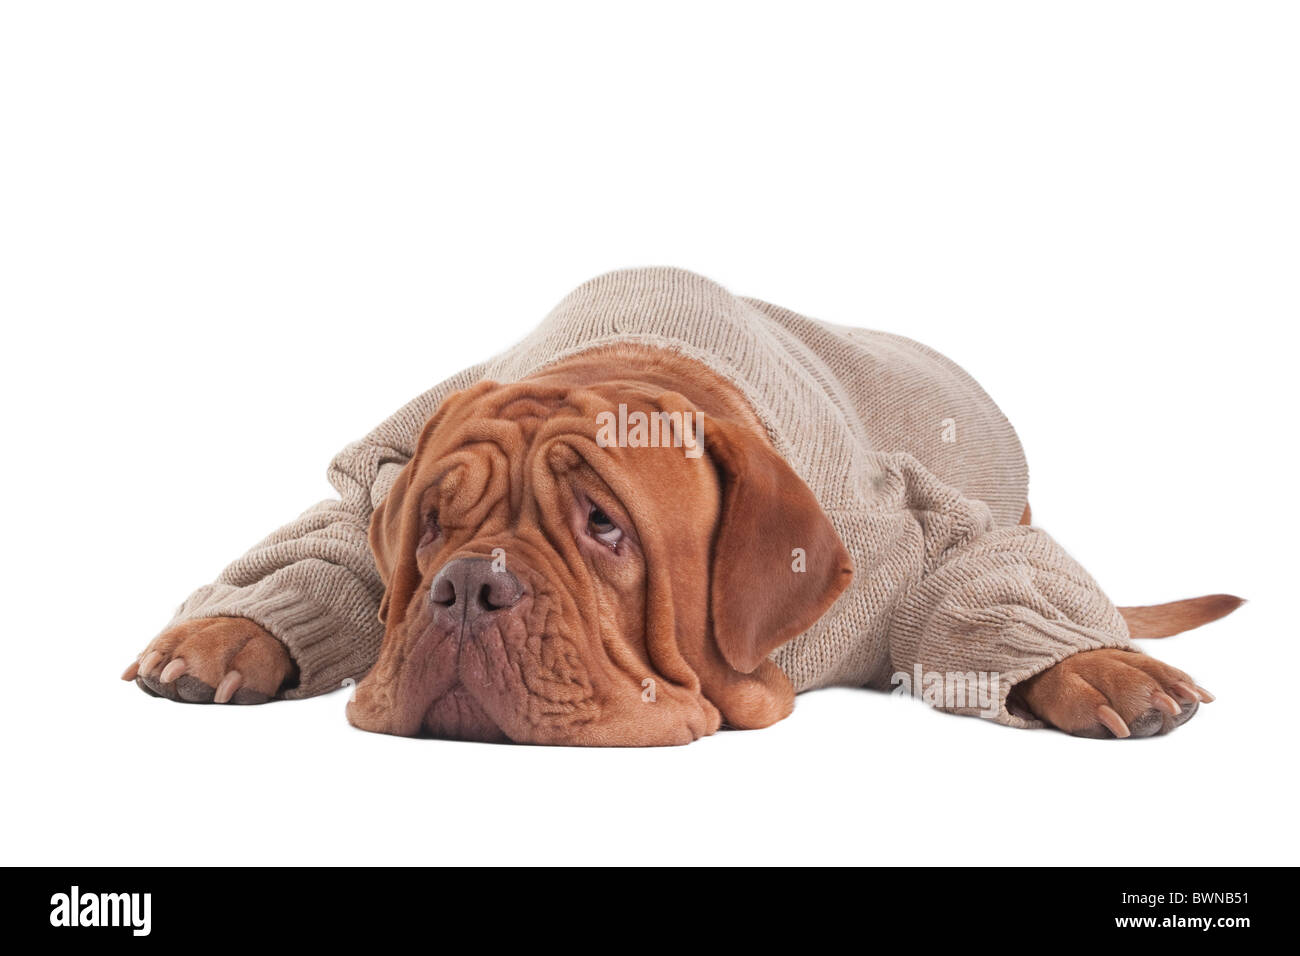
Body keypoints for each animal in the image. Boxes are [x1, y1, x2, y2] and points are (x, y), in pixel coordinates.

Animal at [122, 265, 1237, 743]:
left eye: (604, 525)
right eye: (433, 525)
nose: (465, 588)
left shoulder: (909, 532)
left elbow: (980, 572)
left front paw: (1088, 664)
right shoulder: (379, 473)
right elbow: (326, 549)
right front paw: (225, 633)